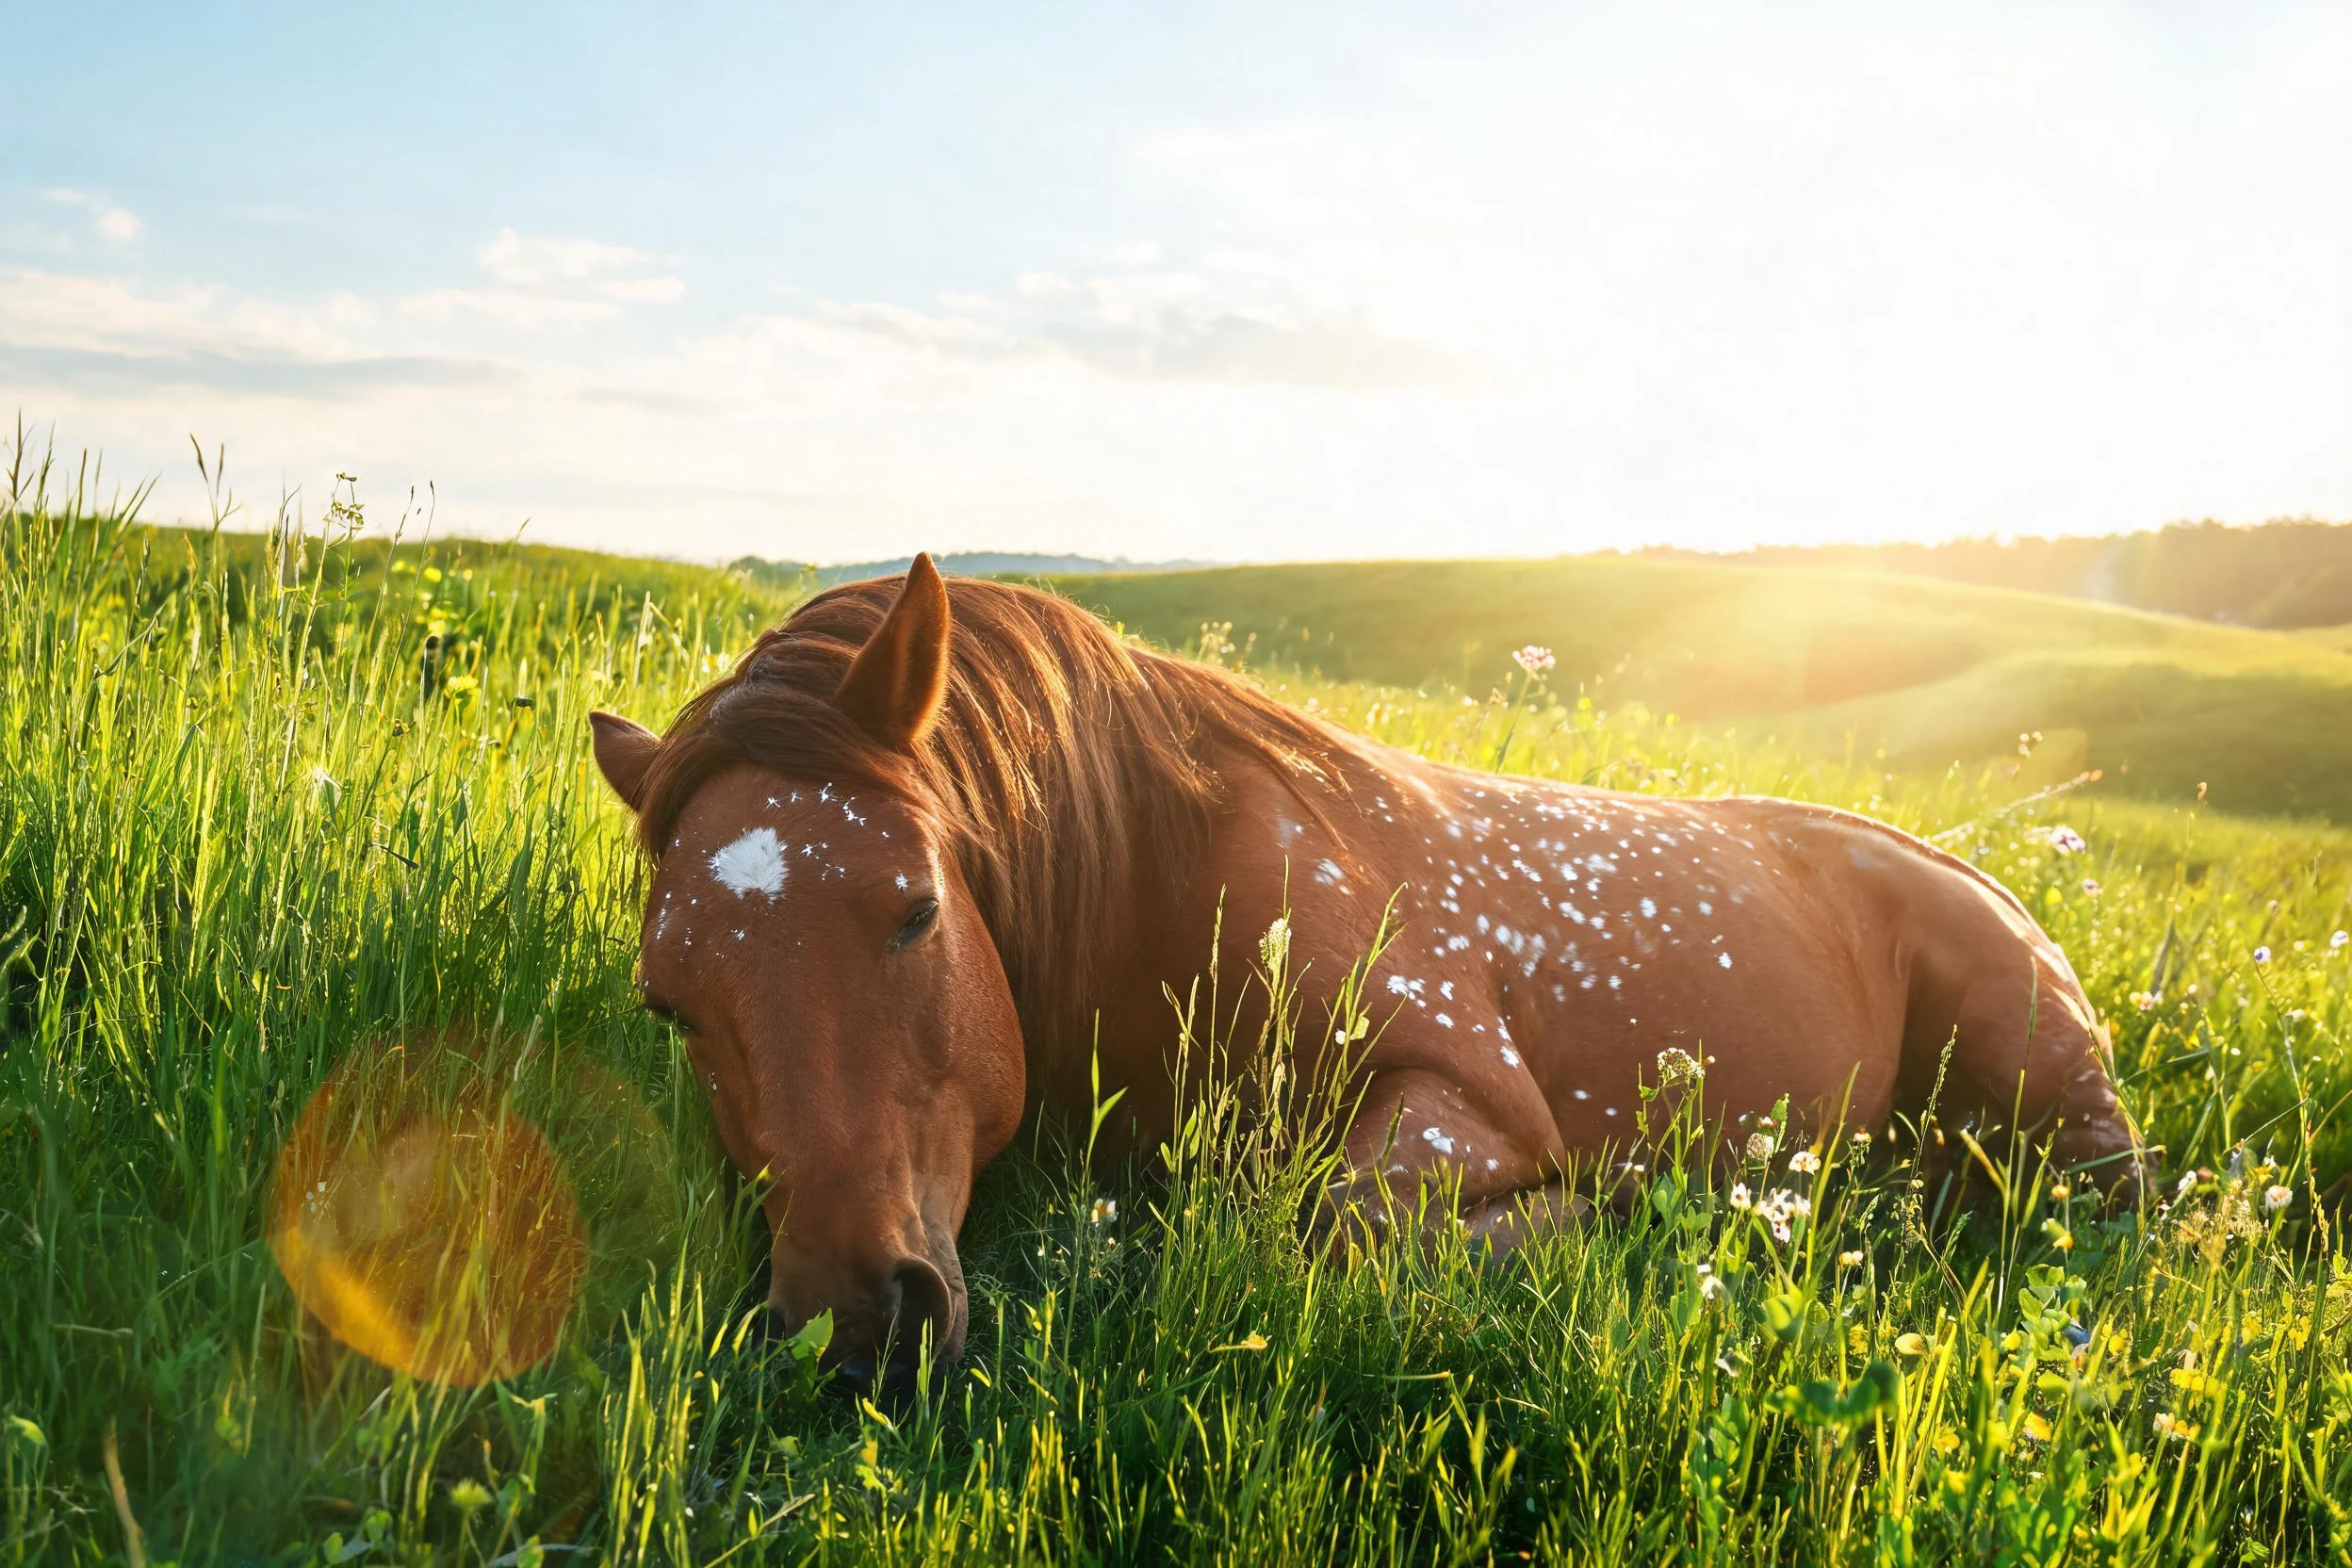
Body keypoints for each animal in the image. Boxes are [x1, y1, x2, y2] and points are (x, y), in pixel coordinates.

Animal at [590, 555, 2144, 1390]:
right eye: (672, 1006)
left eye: (914, 913)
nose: (851, 1329)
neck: (1161, 876)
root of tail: (1983, 874)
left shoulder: (1460, 1098)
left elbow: (1330, 1230)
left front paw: (1613, 1220)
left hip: (2065, 1126)